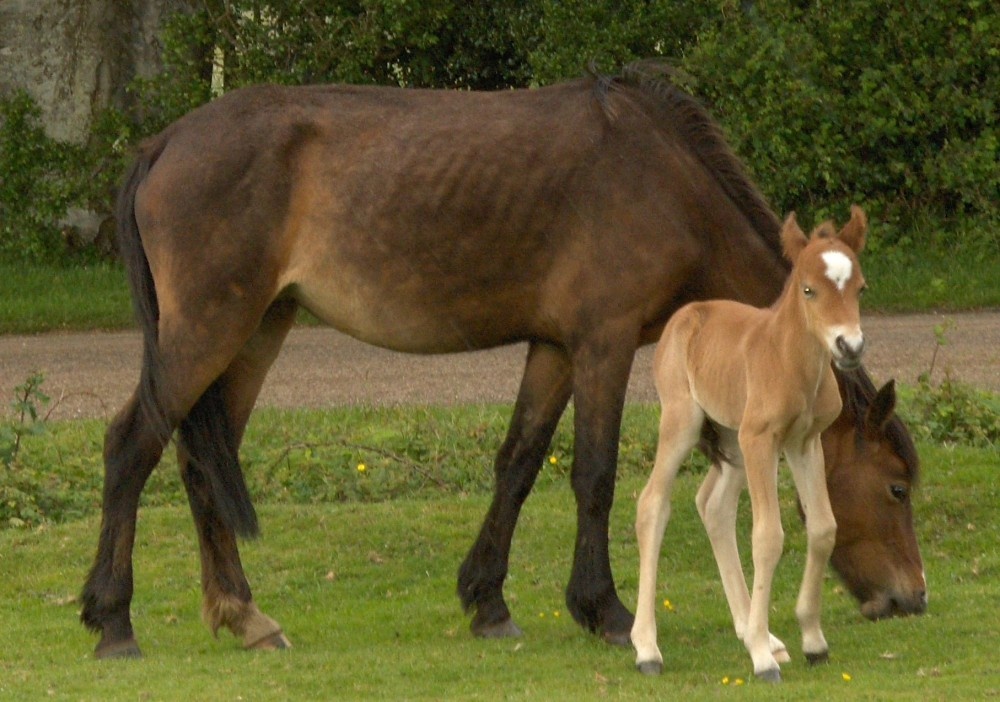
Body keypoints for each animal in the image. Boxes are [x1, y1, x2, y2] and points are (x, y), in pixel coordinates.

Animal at [631, 207, 873, 682]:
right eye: (809, 289)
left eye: (859, 288)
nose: (849, 346)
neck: (790, 359)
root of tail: (687, 314)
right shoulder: (762, 440)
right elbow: (768, 536)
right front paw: (762, 659)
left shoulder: (805, 442)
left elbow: (823, 528)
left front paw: (812, 641)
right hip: (686, 423)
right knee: (653, 504)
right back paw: (648, 649)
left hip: (732, 441)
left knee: (713, 506)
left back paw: (758, 633)